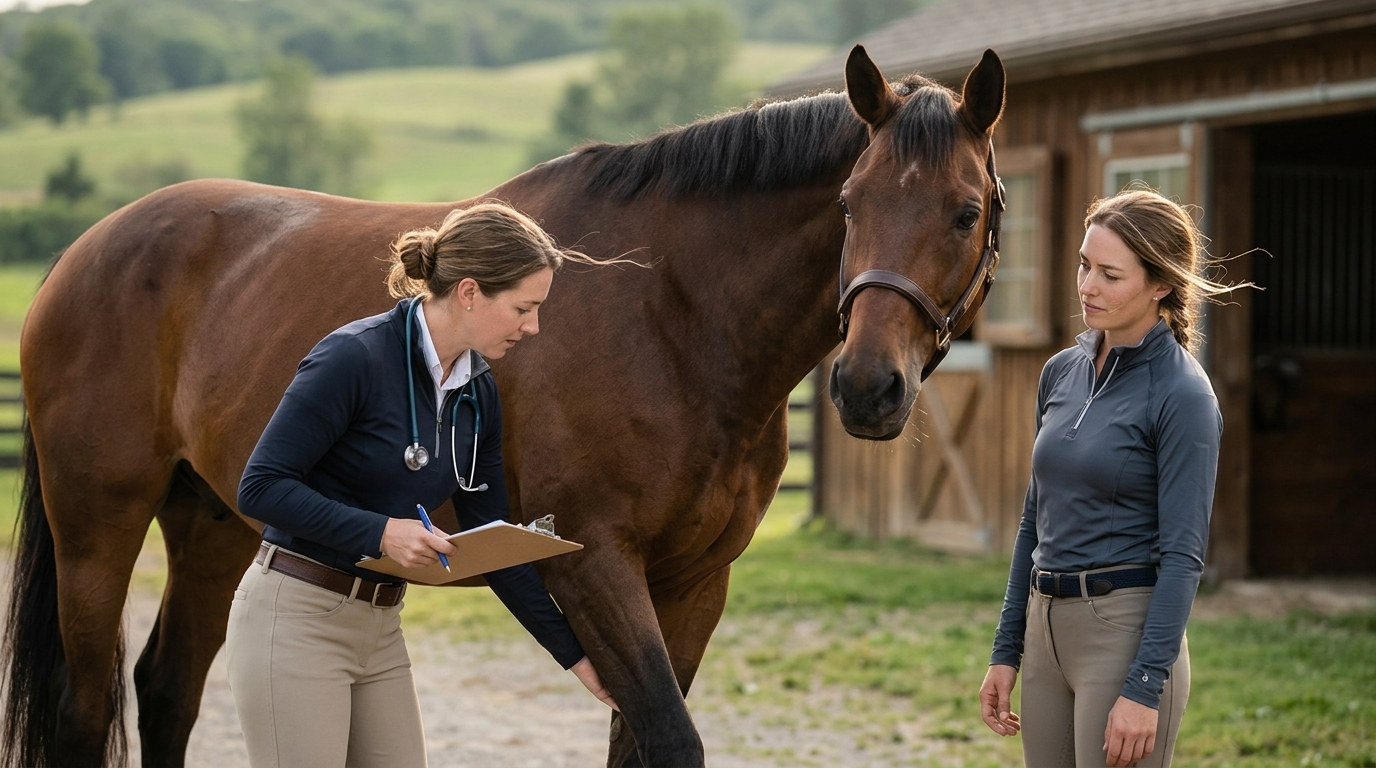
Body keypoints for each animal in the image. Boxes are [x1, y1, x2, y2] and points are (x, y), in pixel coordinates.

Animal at [2, 45, 1004, 767]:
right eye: (849, 203)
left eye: (966, 212)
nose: (868, 388)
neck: (674, 310)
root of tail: (82, 250)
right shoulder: (593, 563)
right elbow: (670, 738)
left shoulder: (694, 582)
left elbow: (639, 742)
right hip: (99, 526)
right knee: (88, 709)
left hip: (213, 522)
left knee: (170, 687)